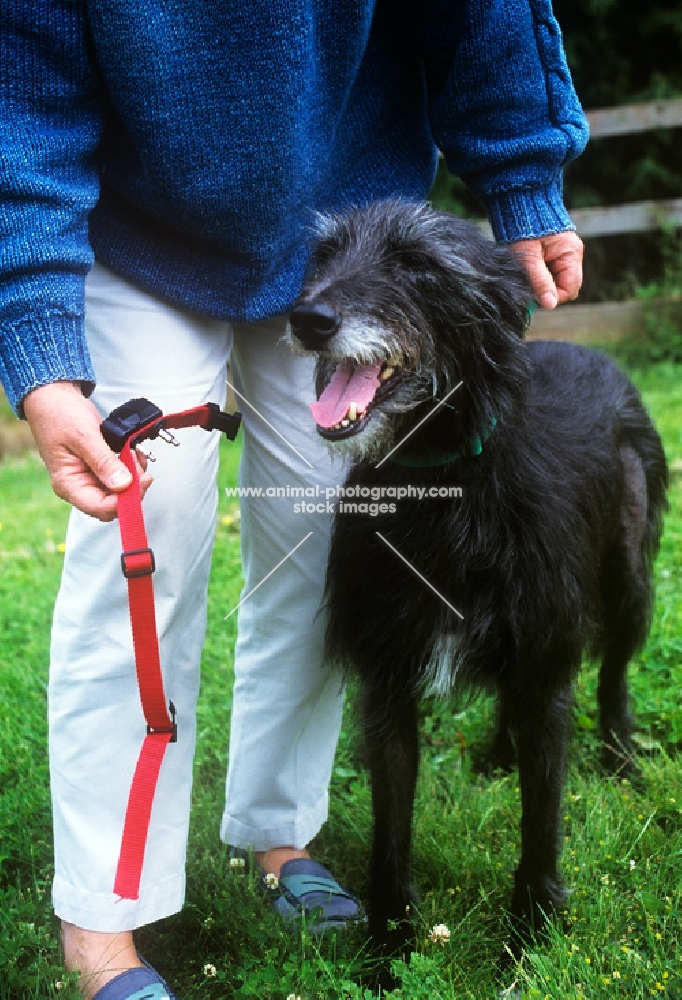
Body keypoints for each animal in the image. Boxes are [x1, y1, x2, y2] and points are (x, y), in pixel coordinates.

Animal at [284, 201, 668, 952]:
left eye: (415, 262)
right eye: (323, 256)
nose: (307, 318)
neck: (443, 483)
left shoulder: (547, 667)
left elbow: (541, 823)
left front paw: (532, 934)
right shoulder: (388, 680)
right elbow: (391, 832)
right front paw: (390, 945)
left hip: (629, 582)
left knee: (613, 673)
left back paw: (620, 755)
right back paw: (498, 752)